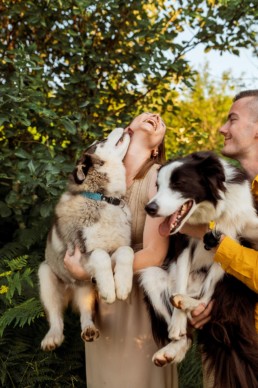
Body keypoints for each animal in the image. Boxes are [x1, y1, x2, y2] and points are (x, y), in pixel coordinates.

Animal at [140, 151, 258, 388]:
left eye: (178, 184)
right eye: (158, 185)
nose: (150, 208)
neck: (210, 212)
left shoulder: (237, 234)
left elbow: (210, 286)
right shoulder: (182, 243)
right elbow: (181, 279)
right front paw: (177, 323)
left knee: (205, 300)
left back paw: (188, 302)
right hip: (150, 275)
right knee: (186, 333)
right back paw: (171, 346)